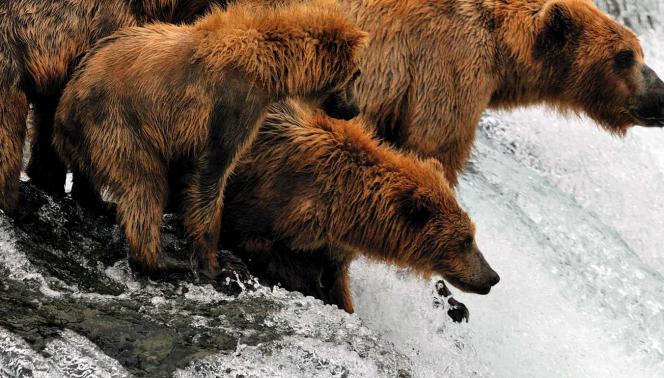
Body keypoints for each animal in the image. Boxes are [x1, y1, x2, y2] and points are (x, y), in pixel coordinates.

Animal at [53, 0, 368, 278]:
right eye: (356, 74)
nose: (355, 109)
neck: (269, 66)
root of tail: (65, 106)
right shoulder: (230, 105)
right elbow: (212, 173)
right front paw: (216, 264)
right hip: (117, 124)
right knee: (144, 185)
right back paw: (163, 261)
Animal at [220, 99, 500, 312]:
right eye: (465, 240)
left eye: (472, 235)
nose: (492, 276)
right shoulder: (272, 199)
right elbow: (258, 242)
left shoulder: (332, 244)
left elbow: (336, 283)